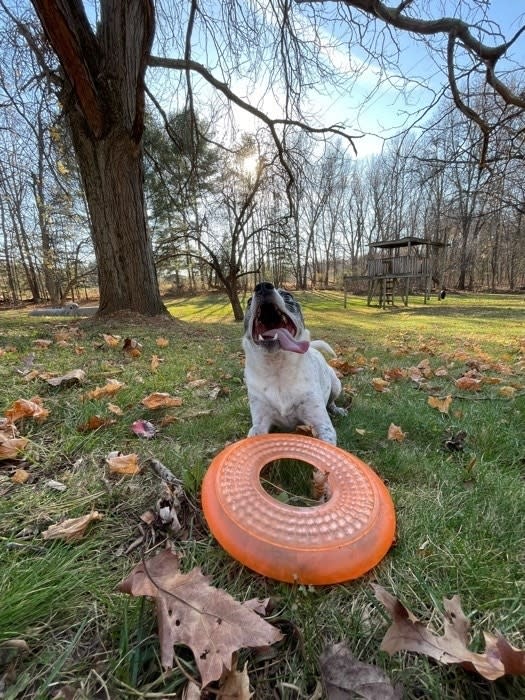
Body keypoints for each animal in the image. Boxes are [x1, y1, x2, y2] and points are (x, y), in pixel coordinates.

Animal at [243, 282, 348, 446]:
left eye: (288, 296)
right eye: (248, 302)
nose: (263, 286)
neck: (277, 369)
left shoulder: (323, 425)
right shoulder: (259, 423)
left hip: (337, 385)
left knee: (331, 402)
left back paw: (338, 410)